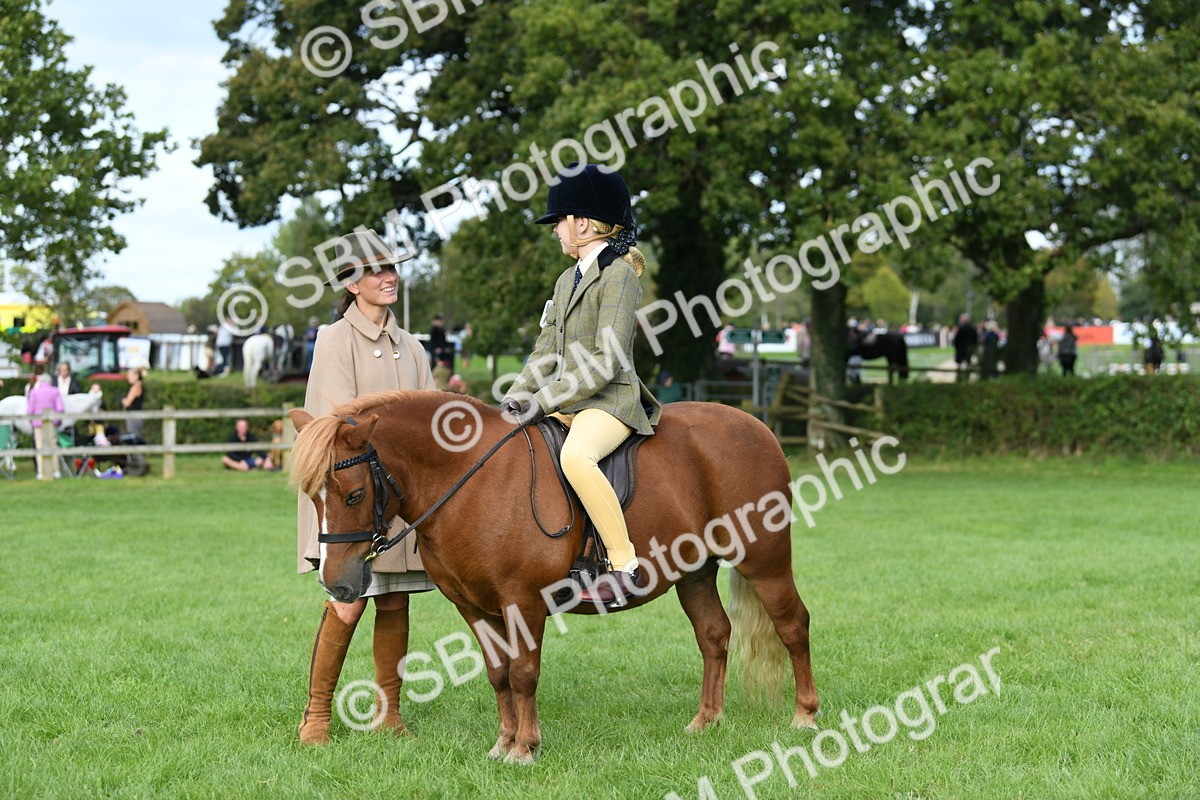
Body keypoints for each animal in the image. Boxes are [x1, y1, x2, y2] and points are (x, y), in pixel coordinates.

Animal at [288, 391, 819, 764]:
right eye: (313, 496)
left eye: (354, 495)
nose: (336, 583)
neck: (470, 479)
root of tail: (758, 427)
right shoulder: (473, 606)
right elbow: (498, 674)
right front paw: (503, 743)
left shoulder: (523, 602)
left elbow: (523, 674)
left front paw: (525, 748)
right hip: (695, 572)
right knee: (714, 635)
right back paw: (706, 721)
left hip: (765, 560)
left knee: (793, 624)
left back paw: (805, 717)